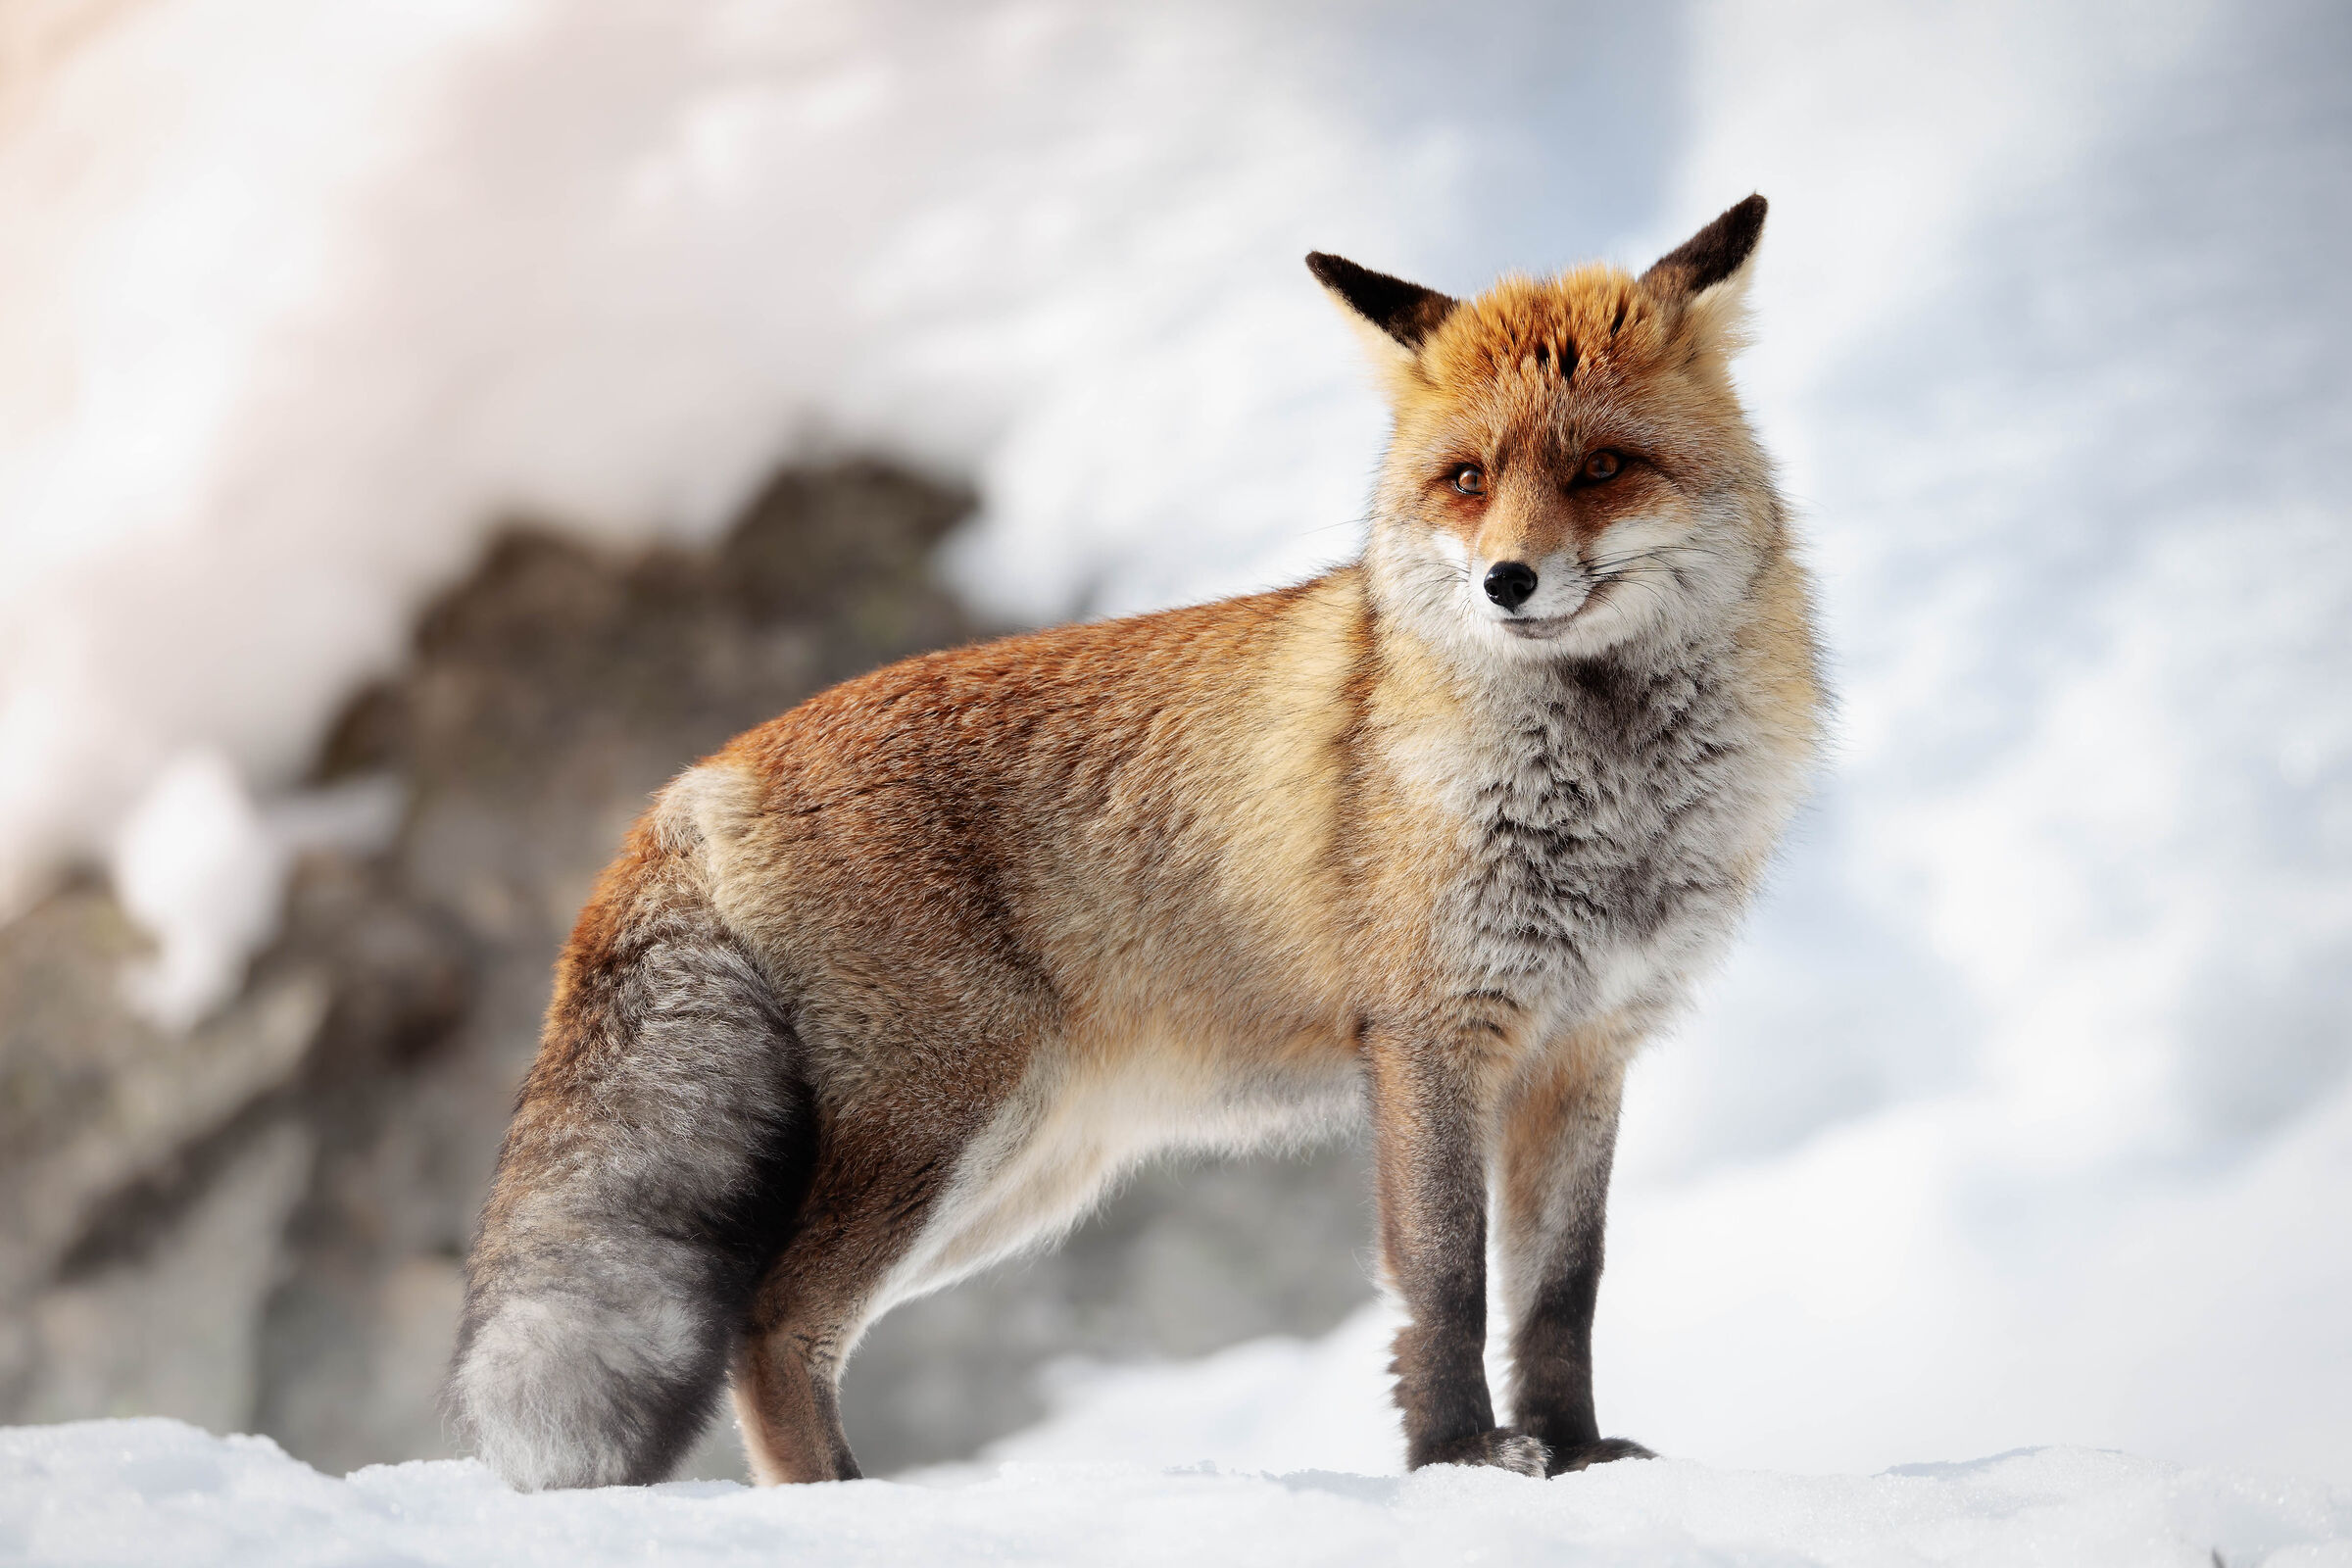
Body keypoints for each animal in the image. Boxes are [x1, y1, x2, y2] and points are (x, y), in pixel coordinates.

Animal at [448, 194, 1824, 1489]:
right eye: (1469, 478)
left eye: (1601, 469)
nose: (1506, 583)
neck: (1601, 793)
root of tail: (701, 774)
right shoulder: (1434, 1036)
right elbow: (1444, 1280)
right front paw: (1456, 1459)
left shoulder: (1587, 1048)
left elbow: (1561, 1293)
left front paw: (1574, 1456)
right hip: (949, 1129)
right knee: (770, 1321)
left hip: (1017, 1178)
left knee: (773, 1323)